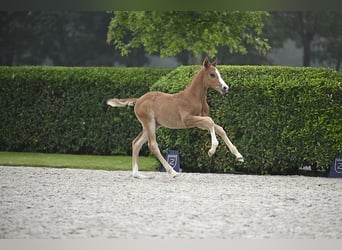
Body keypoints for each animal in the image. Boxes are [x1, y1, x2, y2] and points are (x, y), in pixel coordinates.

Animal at [107, 59, 243, 178]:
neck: (193, 97)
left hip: (154, 125)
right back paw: (173, 172)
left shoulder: (199, 121)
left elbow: (219, 128)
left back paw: (137, 175)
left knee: (136, 143)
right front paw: (212, 150)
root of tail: (139, 100)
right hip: (149, 122)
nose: (225, 88)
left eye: (219, 74)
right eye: (212, 74)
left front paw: (239, 155)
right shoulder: (188, 120)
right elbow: (210, 121)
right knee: (152, 145)